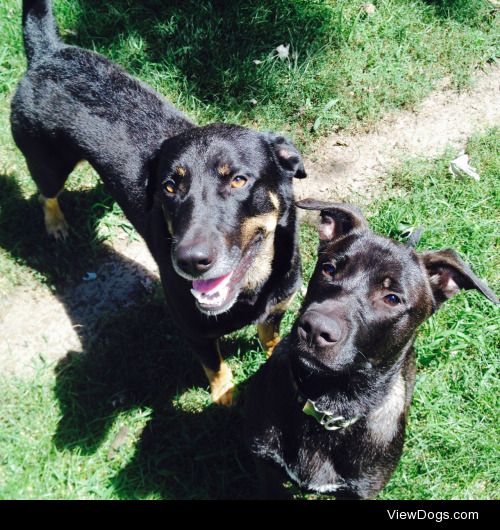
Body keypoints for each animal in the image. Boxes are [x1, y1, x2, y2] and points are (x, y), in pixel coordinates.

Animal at [11, 2, 306, 402]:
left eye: (238, 180)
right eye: (169, 187)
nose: (189, 261)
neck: (253, 286)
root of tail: (47, 52)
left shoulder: (278, 306)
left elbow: (271, 338)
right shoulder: (194, 331)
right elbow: (217, 369)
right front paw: (225, 398)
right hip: (47, 160)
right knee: (45, 194)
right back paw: (55, 224)